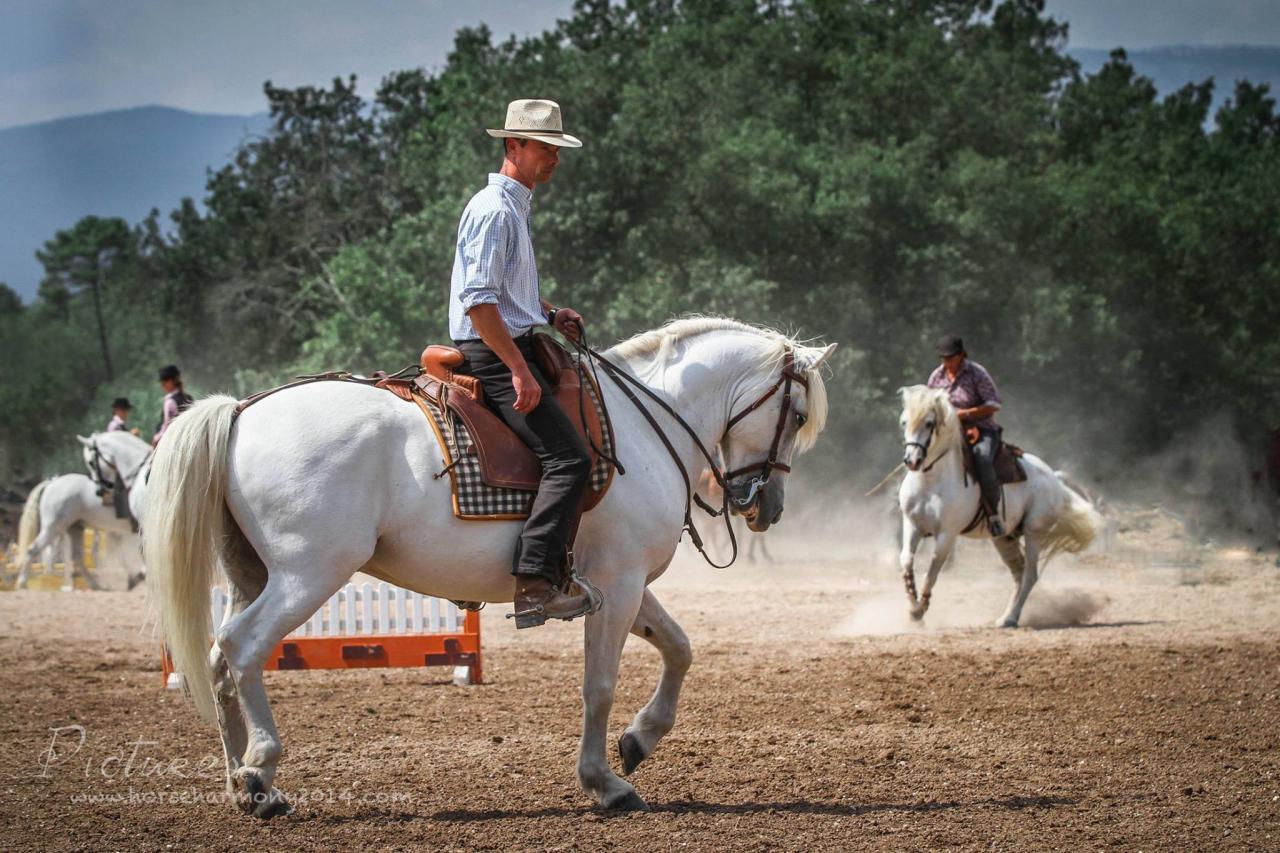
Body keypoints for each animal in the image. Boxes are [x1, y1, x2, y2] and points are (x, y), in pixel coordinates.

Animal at [145, 317, 834, 809]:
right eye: (797, 416)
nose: (767, 506)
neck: (646, 425)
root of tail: (241, 412)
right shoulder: (619, 584)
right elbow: (600, 684)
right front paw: (604, 782)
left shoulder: (624, 583)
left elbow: (679, 648)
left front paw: (639, 740)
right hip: (306, 576)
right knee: (242, 647)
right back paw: (261, 768)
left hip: (253, 575)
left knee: (218, 658)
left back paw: (242, 782)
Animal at [901, 384, 1100, 625]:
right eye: (903, 422)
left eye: (929, 423)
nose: (912, 460)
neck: (931, 481)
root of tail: (1054, 478)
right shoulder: (912, 525)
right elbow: (906, 561)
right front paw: (913, 609)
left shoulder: (947, 533)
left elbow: (933, 568)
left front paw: (920, 609)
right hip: (1004, 537)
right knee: (1018, 572)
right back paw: (1004, 616)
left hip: (1034, 532)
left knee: (1030, 575)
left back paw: (1011, 618)